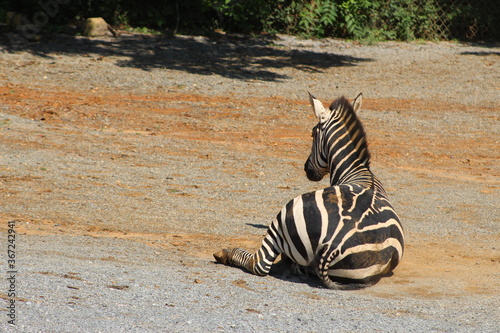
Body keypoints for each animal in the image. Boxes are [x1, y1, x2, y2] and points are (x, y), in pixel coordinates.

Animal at [213, 92, 404, 288]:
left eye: (312, 133)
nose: (307, 169)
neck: (358, 172)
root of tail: (332, 247)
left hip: (284, 216)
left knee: (259, 263)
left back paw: (224, 253)